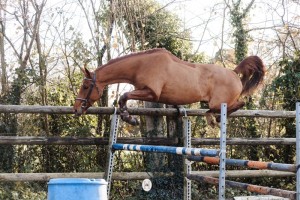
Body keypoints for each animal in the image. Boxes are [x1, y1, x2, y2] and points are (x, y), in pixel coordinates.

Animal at [74, 48, 266, 126]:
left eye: (85, 86)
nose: (76, 109)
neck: (141, 65)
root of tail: (234, 73)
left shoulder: (152, 93)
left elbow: (124, 96)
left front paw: (130, 118)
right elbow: (124, 98)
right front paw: (129, 118)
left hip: (218, 103)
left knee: (237, 104)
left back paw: (215, 119)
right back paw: (214, 118)